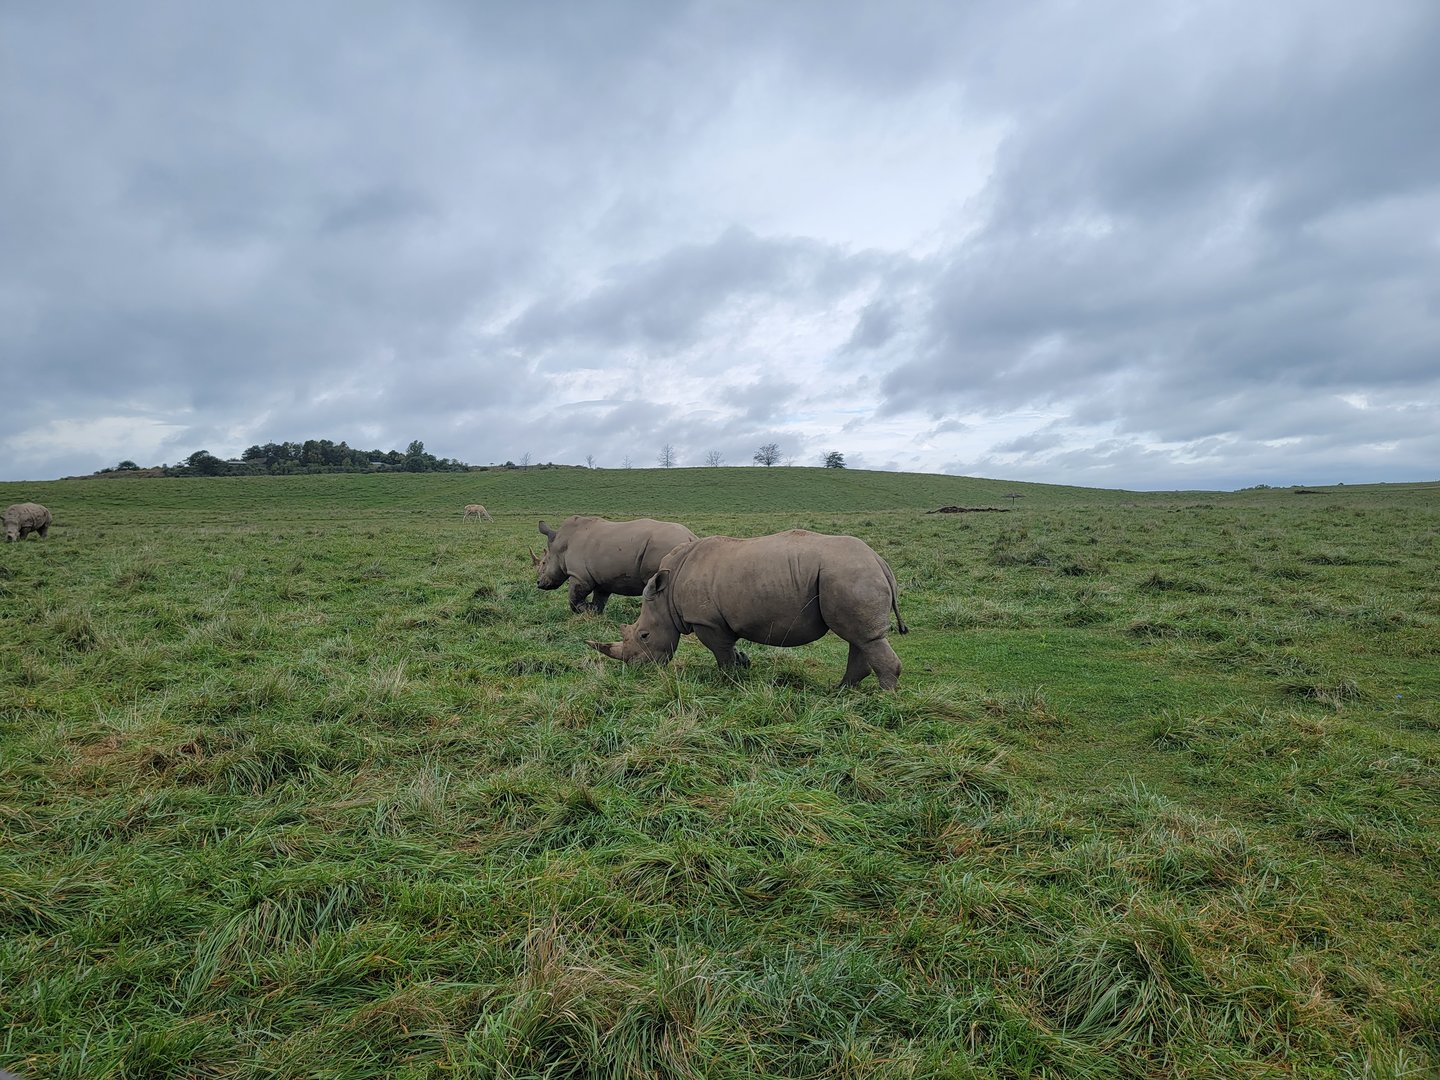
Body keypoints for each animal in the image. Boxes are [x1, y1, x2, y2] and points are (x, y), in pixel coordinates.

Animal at [533, 515, 699, 615]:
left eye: (544, 563)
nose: (539, 583)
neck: (561, 545)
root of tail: (691, 537)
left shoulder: (579, 575)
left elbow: (573, 598)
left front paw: (584, 609)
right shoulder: (602, 579)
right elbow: (599, 599)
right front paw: (592, 612)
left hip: (666, 546)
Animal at [588, 529, 909, 689]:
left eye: (643, 635)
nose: (637, 670)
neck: (666, 595)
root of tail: (880, 561)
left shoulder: (706, 621)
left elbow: (721, 652)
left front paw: (728, 681)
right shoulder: (719, 620)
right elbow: (731, 648)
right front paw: (744, 664)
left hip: (848, 574)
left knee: (863, 637)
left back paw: (884, 700)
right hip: (849, 574)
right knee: (860, 637)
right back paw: (840, 692)